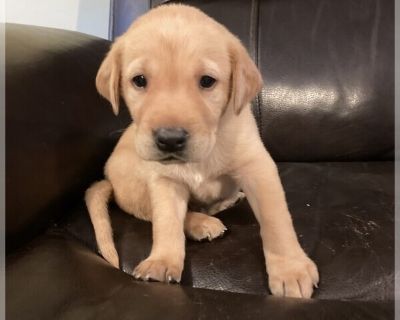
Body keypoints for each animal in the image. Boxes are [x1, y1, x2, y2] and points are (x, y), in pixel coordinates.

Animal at [86, 3, 320, 298]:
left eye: (207, 81)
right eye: (139, 80)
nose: (170, 139)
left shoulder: (257, 167)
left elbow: (276, 220)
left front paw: (290, 270)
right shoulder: (164, 180)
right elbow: (166, 222)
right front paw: (163, 260)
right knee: (151, 213)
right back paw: (200, 223)